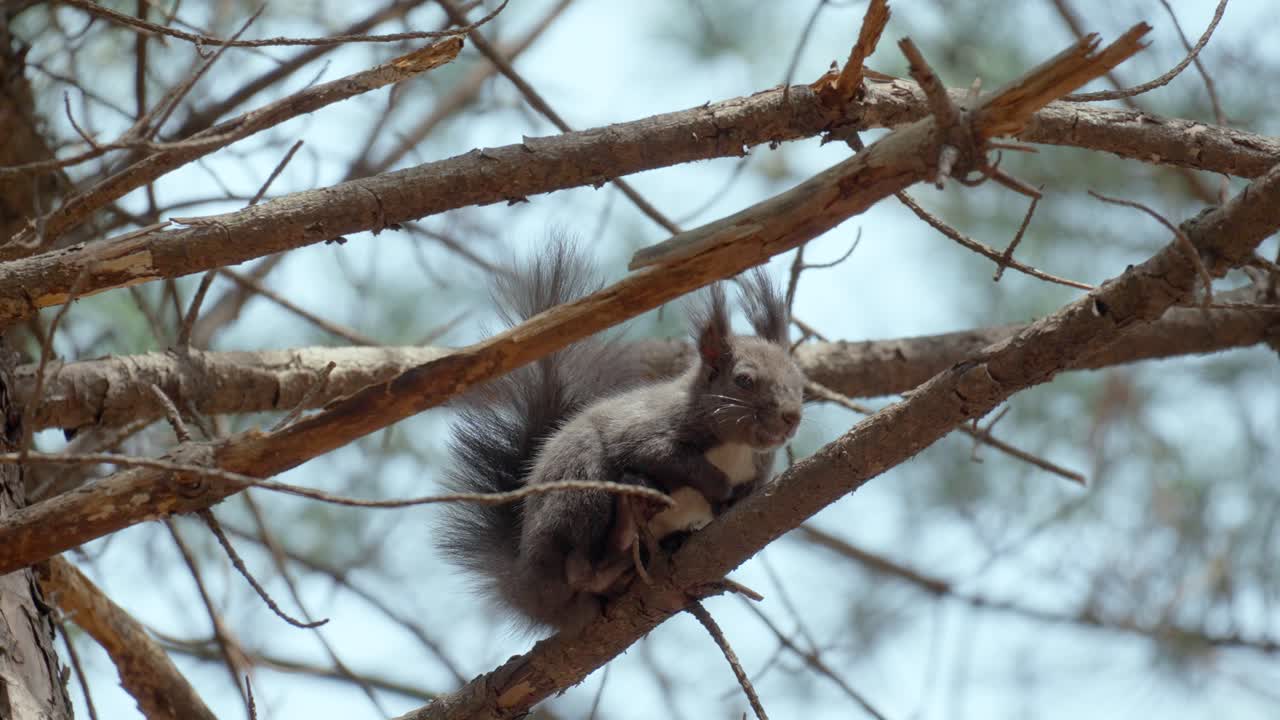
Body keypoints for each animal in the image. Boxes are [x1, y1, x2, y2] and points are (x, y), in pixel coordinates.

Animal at [438, 240, 805, 634]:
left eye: (800, 380)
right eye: (744, 380)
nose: (791, 417)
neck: (737, 446)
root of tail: (524, 587)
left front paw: (730, 501)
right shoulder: (646, 432)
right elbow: (664, 456)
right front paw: (719, 488)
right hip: (579, 494)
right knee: (583, 570)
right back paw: (625, 530)